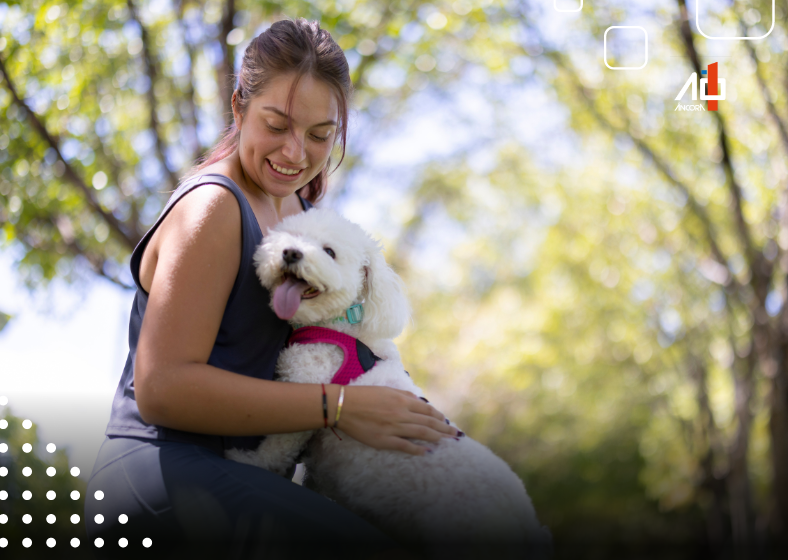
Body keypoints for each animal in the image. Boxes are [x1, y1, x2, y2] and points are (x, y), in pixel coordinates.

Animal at [225, 207, 552, 552]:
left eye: (330, 252)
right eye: (293, 236)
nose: (290, 253)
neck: (343, 328)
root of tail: (527, 525)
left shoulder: (304, 394)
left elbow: (277, 447)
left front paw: (249, 460)